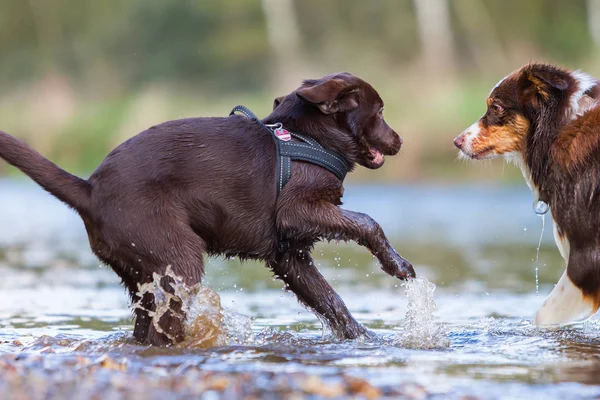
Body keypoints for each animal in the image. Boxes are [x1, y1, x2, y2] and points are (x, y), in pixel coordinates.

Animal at [0, 72, 412, 346]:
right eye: (380, 111)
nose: (400, 141)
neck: (307, 139)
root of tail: (90, 189)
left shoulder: (289, 256)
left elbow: (331, 301)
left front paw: (366, 339)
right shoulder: (298, 211)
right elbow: (366, 222)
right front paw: (398, 266)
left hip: (142, 275)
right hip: (178, 259)